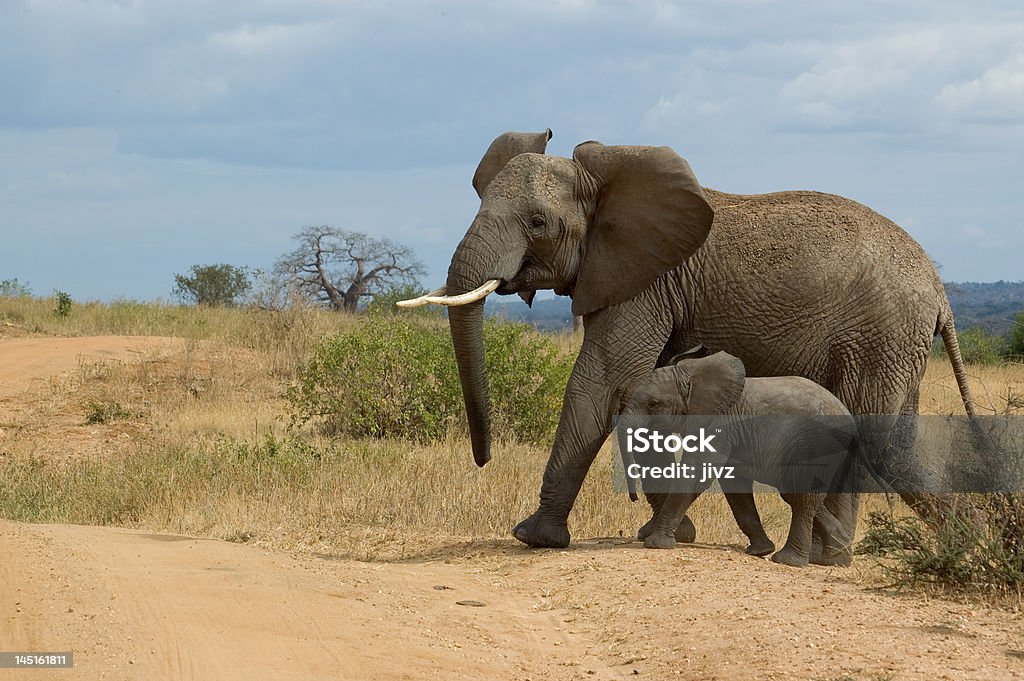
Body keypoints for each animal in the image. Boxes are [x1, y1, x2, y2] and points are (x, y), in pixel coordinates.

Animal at [622, 350, 856, 569]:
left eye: (653, 404)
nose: (634, 499)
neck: (692, 375)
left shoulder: (719, 425)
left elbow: (697, 475)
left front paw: (656, 544)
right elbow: (735, 487)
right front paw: (760, 551)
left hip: (815, 444)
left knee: (800, 496)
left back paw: (789, 561)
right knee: (798, 494)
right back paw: (838, 554)